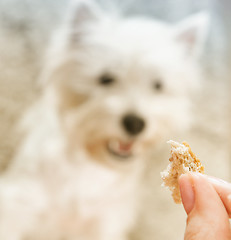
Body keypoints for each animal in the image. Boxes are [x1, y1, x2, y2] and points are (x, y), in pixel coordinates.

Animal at [0, 0, 208, 239]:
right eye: (105, 79)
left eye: (157, 85)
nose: (135, 124)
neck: (91, 167)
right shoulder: (18, 204)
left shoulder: (106, 222)